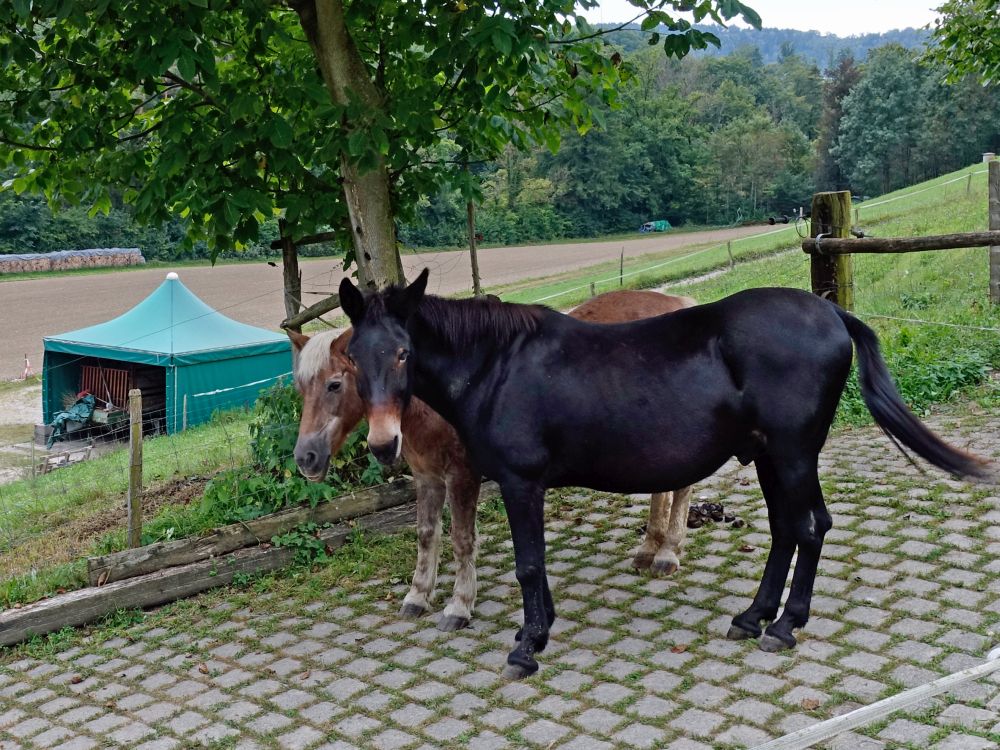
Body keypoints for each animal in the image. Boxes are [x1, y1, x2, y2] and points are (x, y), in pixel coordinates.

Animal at [288, 288, 696, 636]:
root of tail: (677, 301)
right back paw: (649, 549)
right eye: (301, 387)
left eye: (335, 384)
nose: (306, 458)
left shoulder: (462, 476)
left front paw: (459, 605)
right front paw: (417, 596)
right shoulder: (427, 477)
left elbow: (461, 538)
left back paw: (667, 553)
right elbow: (426, 534)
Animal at [342, 270, 992, 680]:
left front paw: (527, 646)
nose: (383, 443)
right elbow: (535, 564)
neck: (498, 365)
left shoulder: (519, 482)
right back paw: (753, 617)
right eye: (352, 357)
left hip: (793, 454)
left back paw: (785, 625)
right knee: (786, 530)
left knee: (811, 527)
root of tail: (830, 310)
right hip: (769, 458)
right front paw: (540, 630)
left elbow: (528, 564)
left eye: (403, 353)